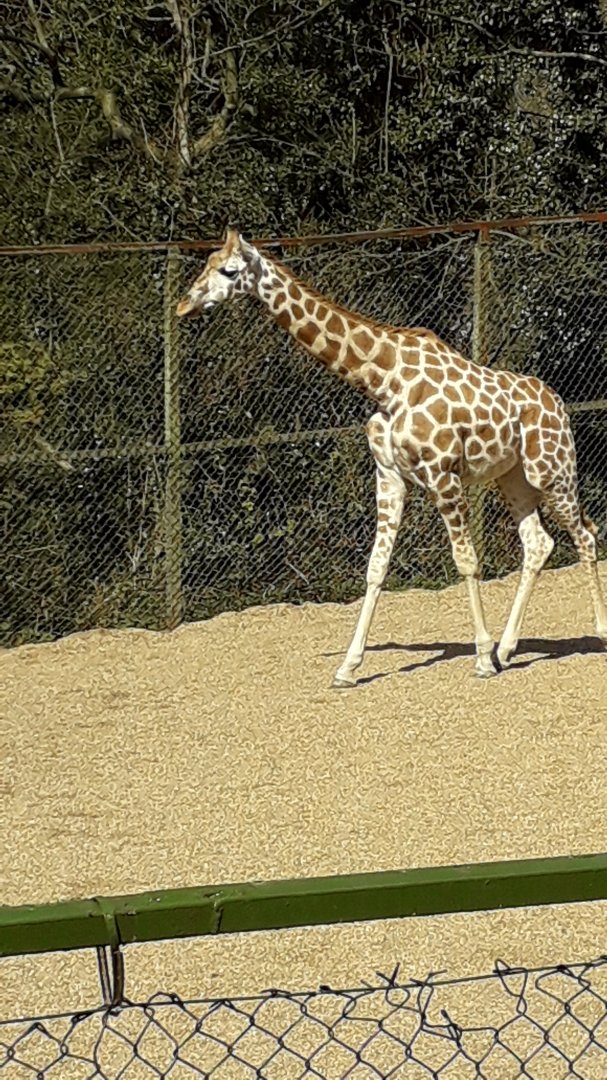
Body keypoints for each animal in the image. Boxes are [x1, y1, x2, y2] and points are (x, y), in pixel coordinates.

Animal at [176, 227, 607, 685]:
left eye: (229, 270)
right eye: (204, 264)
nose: (185, 304)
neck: (383, 381)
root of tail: (558, 403)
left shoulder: (442, 475)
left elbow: (466, 561)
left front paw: (479, 657)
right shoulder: (389, 476)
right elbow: (376, 566)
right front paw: (348, 666)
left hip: (552, 470)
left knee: (585, 533)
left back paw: (594, 633)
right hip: (513, 478)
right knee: (539, 543)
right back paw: (507, 650)